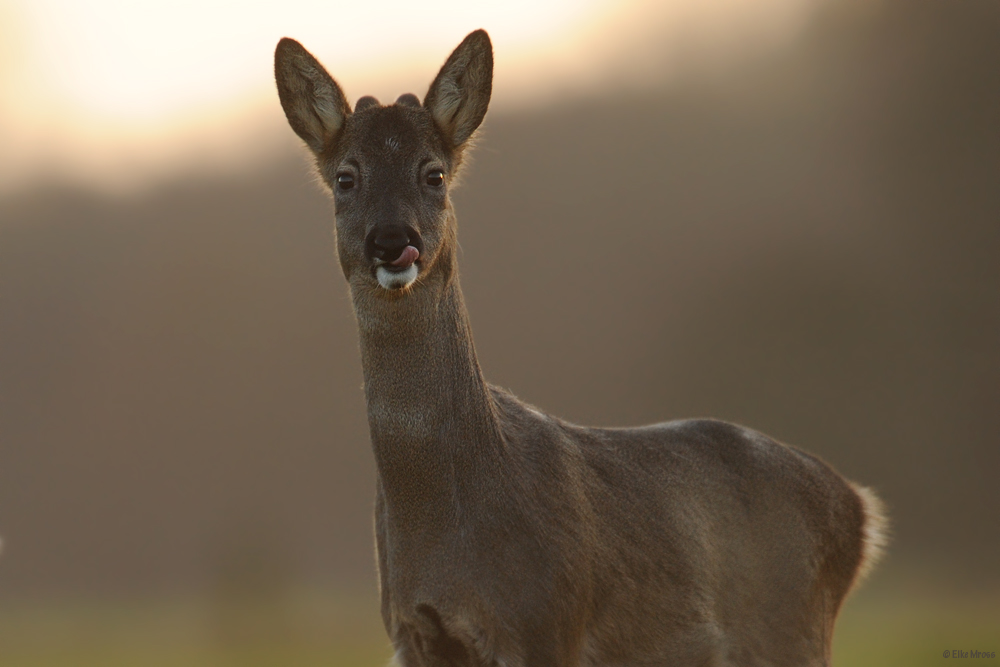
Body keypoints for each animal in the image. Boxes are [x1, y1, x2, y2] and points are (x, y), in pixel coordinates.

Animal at [272, 27, 884, 667]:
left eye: (433, 173)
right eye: (346, 176)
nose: (393, 240)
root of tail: (859, 511)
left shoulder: (547, 618)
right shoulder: (412, 633)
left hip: (790, 628)